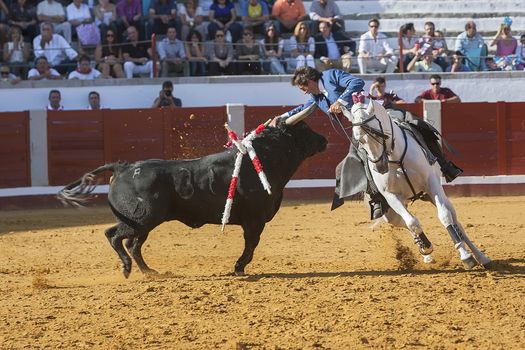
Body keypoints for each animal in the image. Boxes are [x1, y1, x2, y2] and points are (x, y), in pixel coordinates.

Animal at [59, 121, 326, 278]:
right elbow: (251, 245)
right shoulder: (254, 220)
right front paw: (239, 268)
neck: (264, 158)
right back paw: (127, 269)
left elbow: (251, 244)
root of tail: (123, 167)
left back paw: (150, 272)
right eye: (303, 130)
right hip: (143, 218)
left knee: (133, 244)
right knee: (114, 236)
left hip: (144, 223)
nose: (324, 139)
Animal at [344, 92, 492, 268]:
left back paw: (481, 257)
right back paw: (425, 251)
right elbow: (412, 222)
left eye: (378, 133)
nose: (379, 167)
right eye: (358, 139)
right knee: (403, 221)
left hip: (434, 195)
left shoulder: (431, 184)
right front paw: (426, 247)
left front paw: (466, 257)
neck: (395, 157)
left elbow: (444, 216)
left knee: (456, 221)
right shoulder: (390, 196)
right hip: (390, 212)